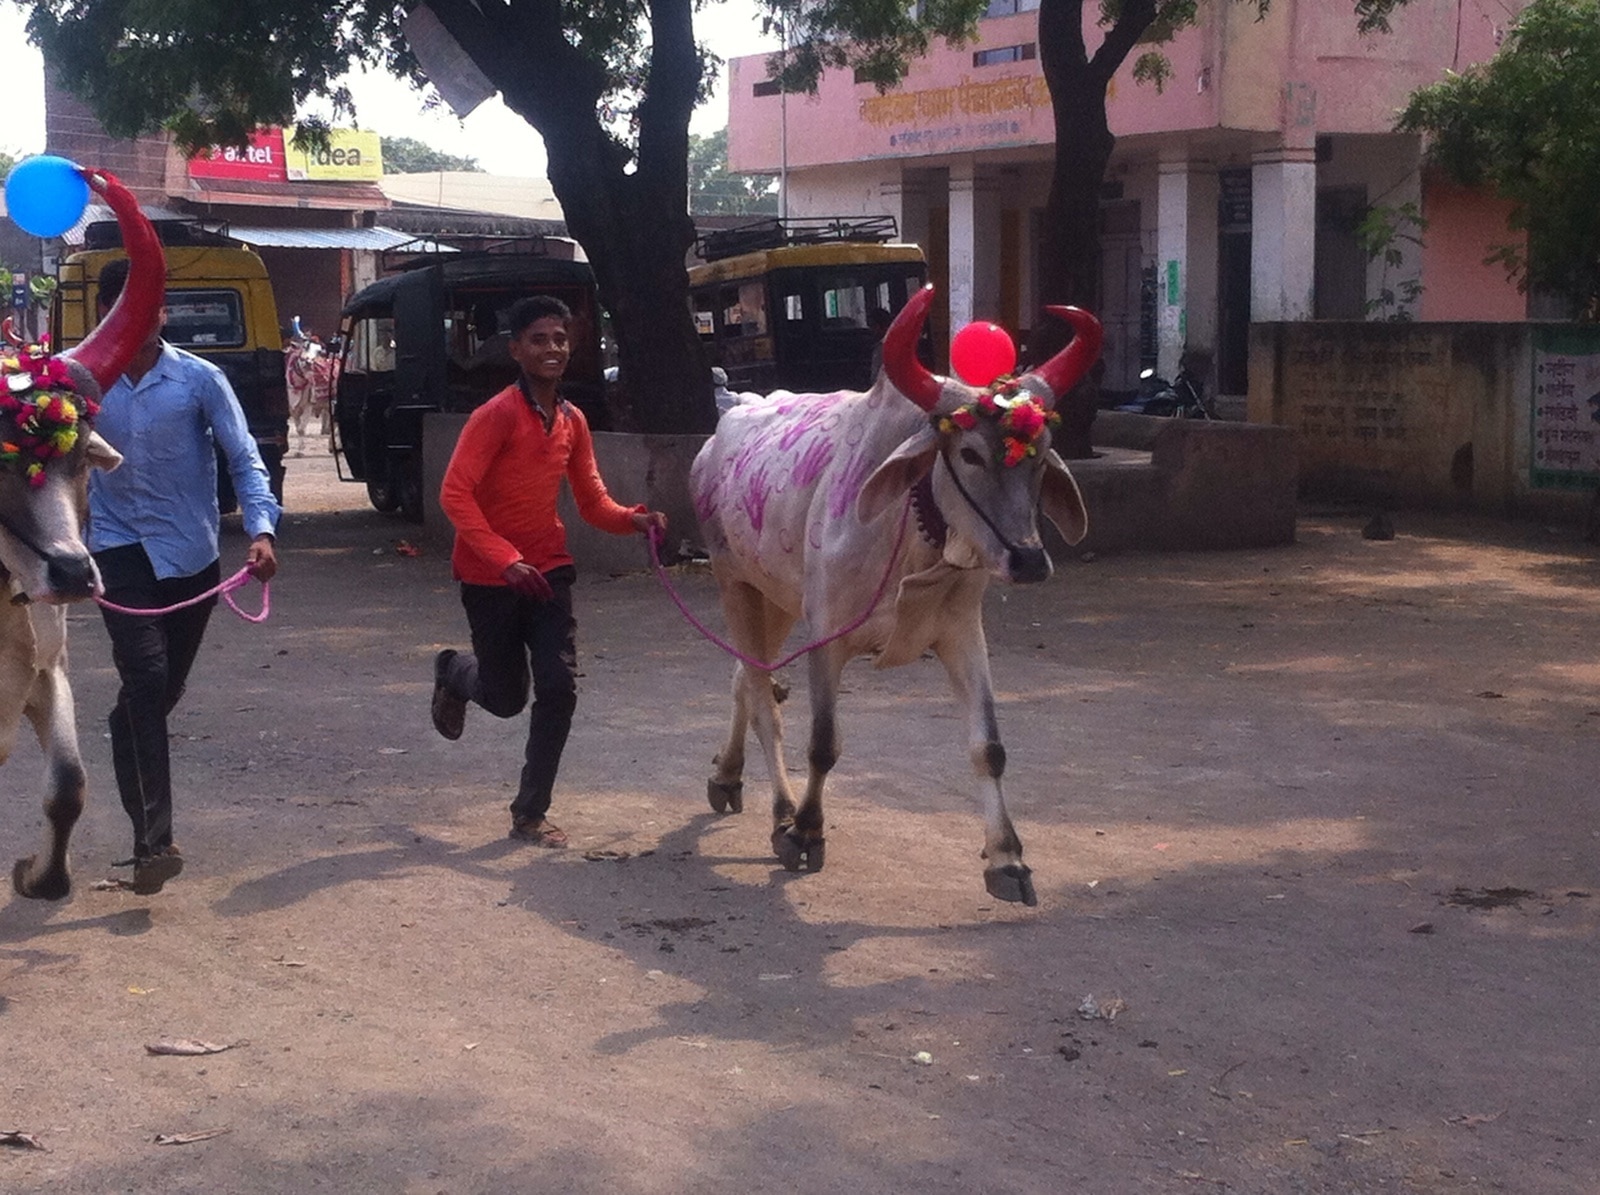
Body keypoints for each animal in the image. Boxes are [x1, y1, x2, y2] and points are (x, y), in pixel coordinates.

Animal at [688, 287, 1100, 908]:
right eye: (970, 454)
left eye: (1042, 450)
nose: (1028, 561)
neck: (911, 532)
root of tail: (722, 429)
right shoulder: (826, 636)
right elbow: (823, 744)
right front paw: (805, 832)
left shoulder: (961, 631)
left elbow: (989, 747)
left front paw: (1008, 858)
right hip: (733, 581)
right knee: (761, 697)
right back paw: (781, 812)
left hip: (776, 597)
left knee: (744, 677)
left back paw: (726, 775)